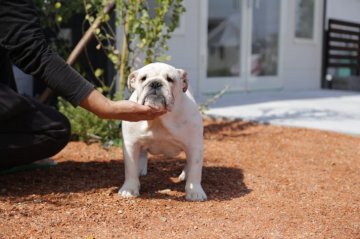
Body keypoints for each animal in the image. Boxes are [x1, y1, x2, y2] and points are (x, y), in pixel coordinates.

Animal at [119, 62, 207, 202]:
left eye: (170, 79)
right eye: (143, 78)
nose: (155, 83)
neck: (159, 119)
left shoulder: (194, 146)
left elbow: (195, 170)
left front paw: (195, 192)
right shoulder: (130, 144)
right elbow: (130, 168)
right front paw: (129, 189)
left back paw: (185, 174)